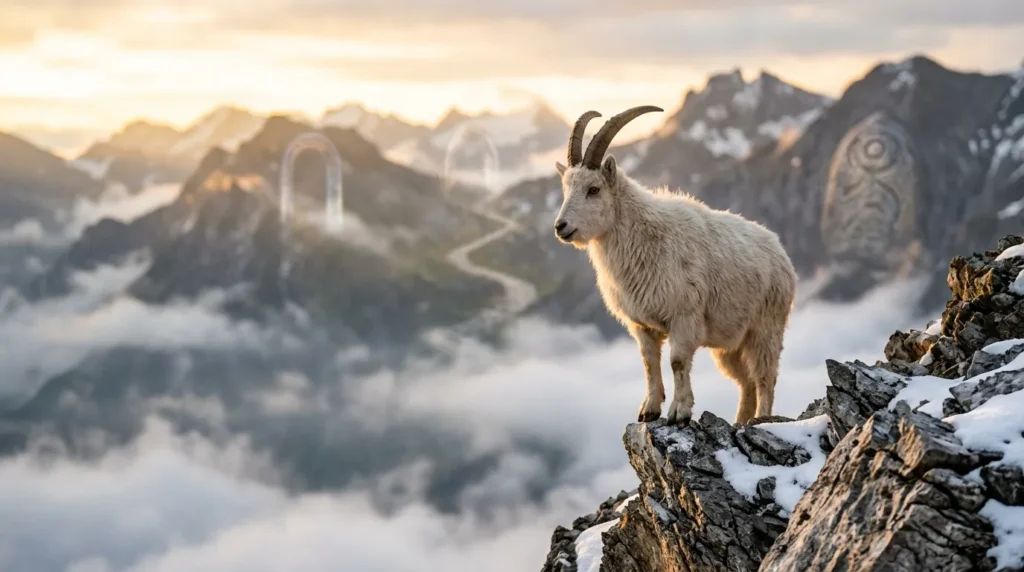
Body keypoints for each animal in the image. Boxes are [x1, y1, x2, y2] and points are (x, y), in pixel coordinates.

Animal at [553, 107, 797, 426]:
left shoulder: (683, 317)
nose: (561, 226)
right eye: (565, 188)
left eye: (593, 189)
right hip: (729, 342)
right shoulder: (642, 324)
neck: (642, 238)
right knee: (746, 382)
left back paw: (762, 419)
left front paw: (679, 412)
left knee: (765, 377)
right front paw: (649, 410)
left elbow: (677, 361)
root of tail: (780, 252)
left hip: (766, 329)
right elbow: (649, 362)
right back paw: (739, 421)